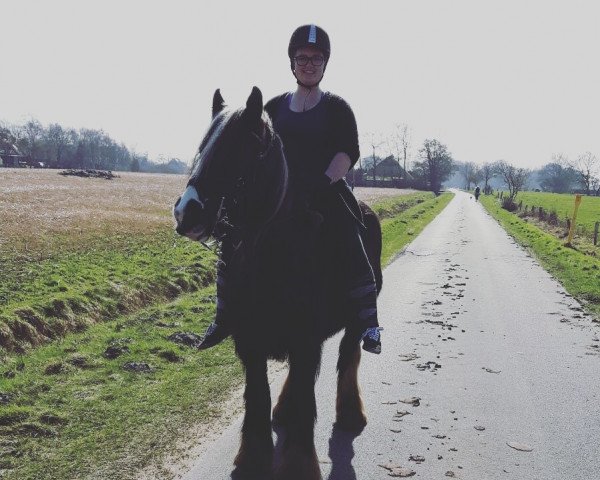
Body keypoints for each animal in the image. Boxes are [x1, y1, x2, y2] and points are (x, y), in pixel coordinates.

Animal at [173, 87, 382, 480]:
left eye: (246, 147)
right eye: (204, 145)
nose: (186, 212)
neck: (271, 248)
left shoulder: (305, 338)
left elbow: (305, 398)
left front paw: (299, 465)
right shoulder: (250, 340)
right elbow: (257, 397)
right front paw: (252, 461)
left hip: (355, 320)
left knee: (349, 357)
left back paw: (350, 414)